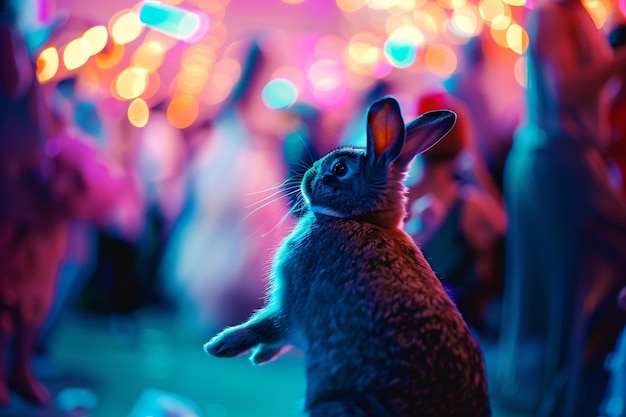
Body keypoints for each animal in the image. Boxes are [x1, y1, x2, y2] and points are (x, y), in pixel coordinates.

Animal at [202, 96, 490, 414]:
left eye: (340, 168)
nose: (308, 175)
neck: (361, 219)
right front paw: (257, 356)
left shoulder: (294, 301)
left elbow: (269, 325)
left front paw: (221, 346)